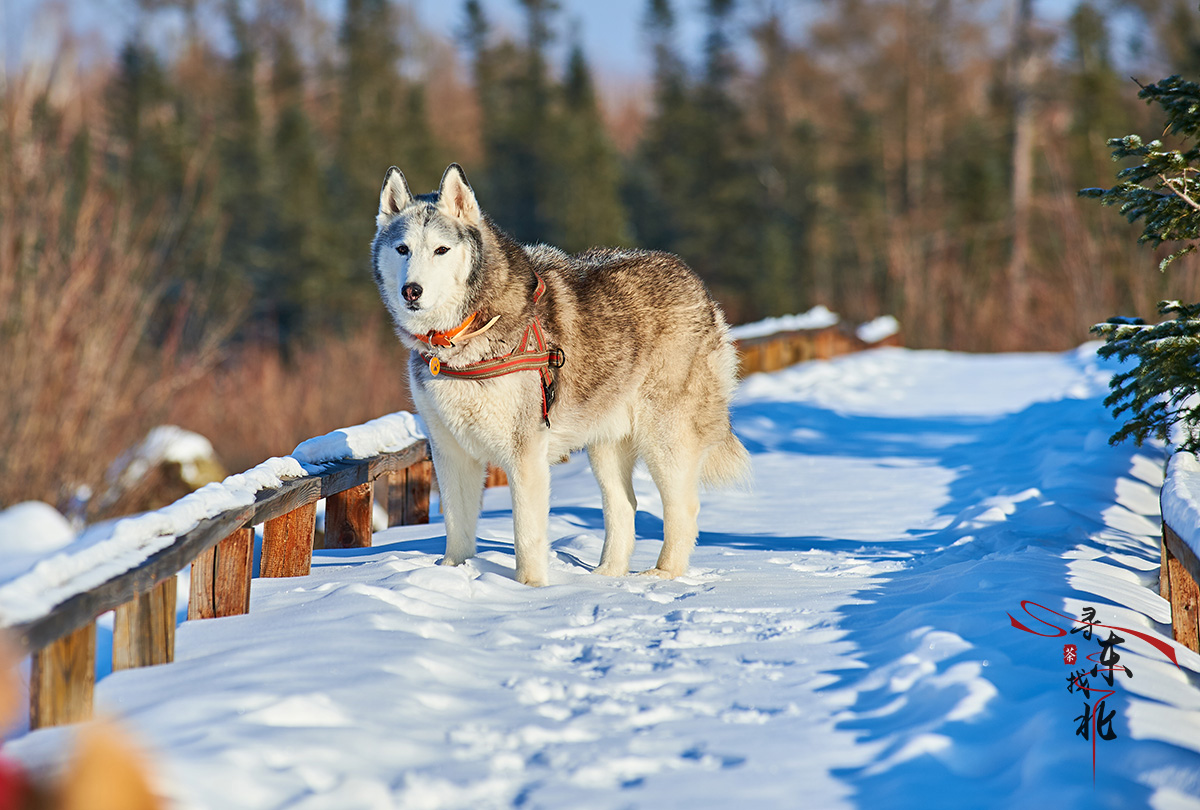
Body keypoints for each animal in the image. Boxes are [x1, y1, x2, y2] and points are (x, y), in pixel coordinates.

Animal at [374, 164, 748, 585]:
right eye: (402, 249)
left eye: (441, 250)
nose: (412, 291)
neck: (464, 334)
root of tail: (693, 280)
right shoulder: (451, 452)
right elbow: (457, 528)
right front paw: (453, 574)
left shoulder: (525, 454)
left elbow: (526, 535)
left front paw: (530, 589)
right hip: (605, 444)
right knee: (625, 505)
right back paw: (605, 577)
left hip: (664, 439)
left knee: (682, 509)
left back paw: (661, 575)